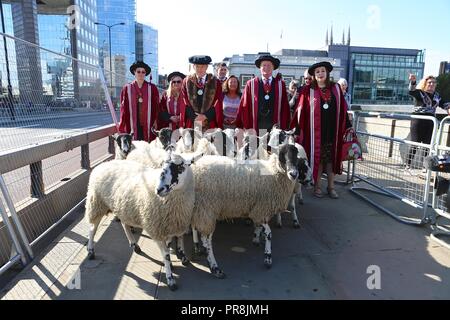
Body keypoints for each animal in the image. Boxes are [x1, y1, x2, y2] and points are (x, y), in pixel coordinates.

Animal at [87, 151, 200, 292]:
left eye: (180, 168)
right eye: (162, 165)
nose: (159, 189)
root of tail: (103, 164)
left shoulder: (173, 225)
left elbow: (174, 245)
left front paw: (178, 261)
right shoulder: (156, 229)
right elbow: (166, 255)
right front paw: (170, 279)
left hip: (122, 207)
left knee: (124, 224)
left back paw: (134, 245)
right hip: (96, 203)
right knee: (92, 229)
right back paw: (90, 251)